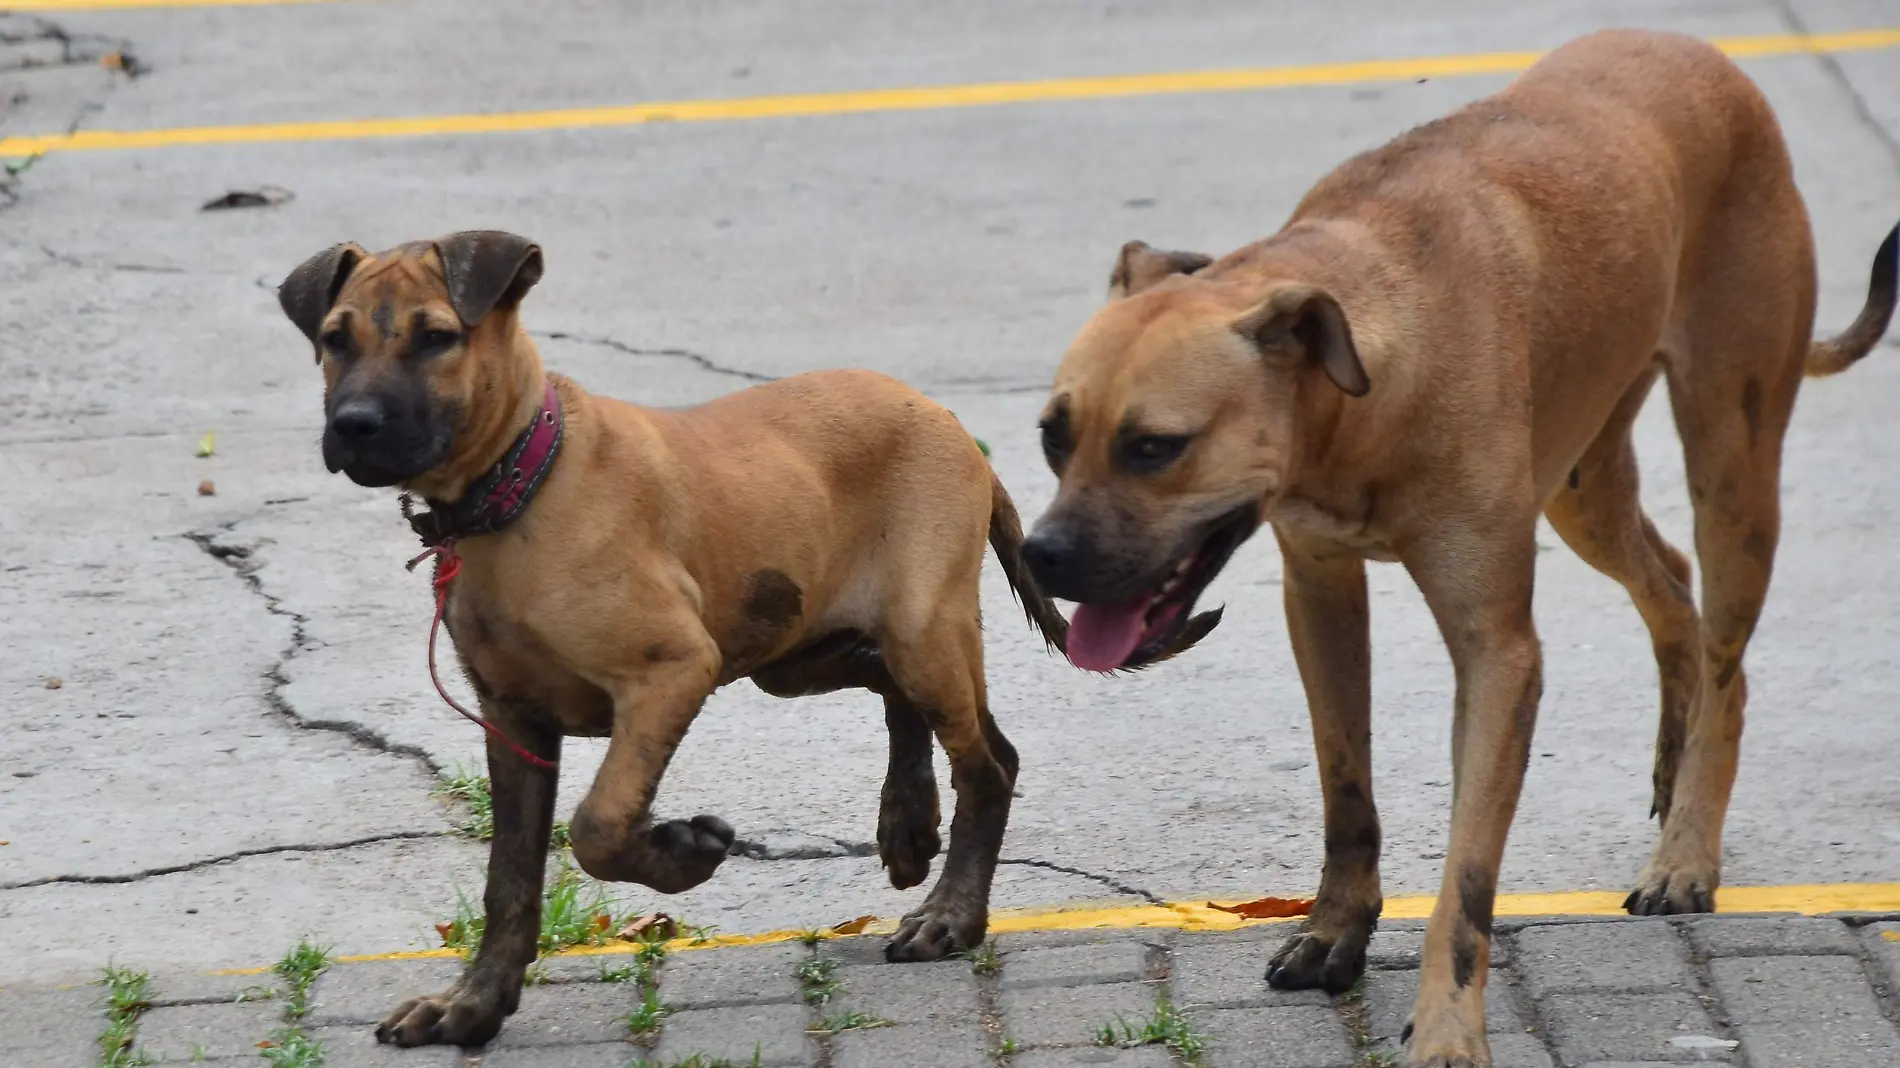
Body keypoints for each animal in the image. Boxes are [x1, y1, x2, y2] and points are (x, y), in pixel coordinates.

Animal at [271, 230, 1216, 1041]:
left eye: (437, 337)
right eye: (333, 339)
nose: (353, 424)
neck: (518, 490)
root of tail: (945, 418)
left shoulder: (669, 670)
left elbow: (599, 825)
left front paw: (684, 855)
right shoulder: (514, 723)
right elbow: (510, 881)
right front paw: (471, 1007)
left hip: (920, 625)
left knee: (989, 761)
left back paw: (950, 914)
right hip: (792, 649)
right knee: (896, 695)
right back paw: (907, 823)